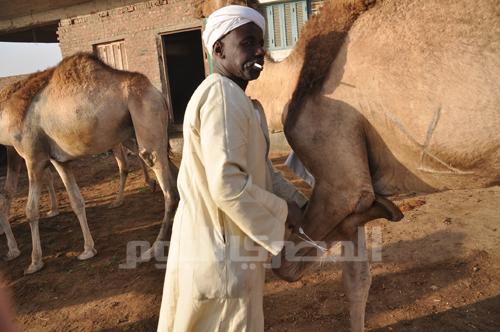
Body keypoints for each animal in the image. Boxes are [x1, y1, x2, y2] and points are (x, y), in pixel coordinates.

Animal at [0, 53, 179, 274]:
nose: (9, 252)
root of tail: (158, 94)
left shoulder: (33, 156)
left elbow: (30, 210)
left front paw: (34, 262)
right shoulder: (59, 160)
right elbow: (76, 201)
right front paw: (88, 250)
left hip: (145, 115)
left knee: (167, 187)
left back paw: (152, 250)